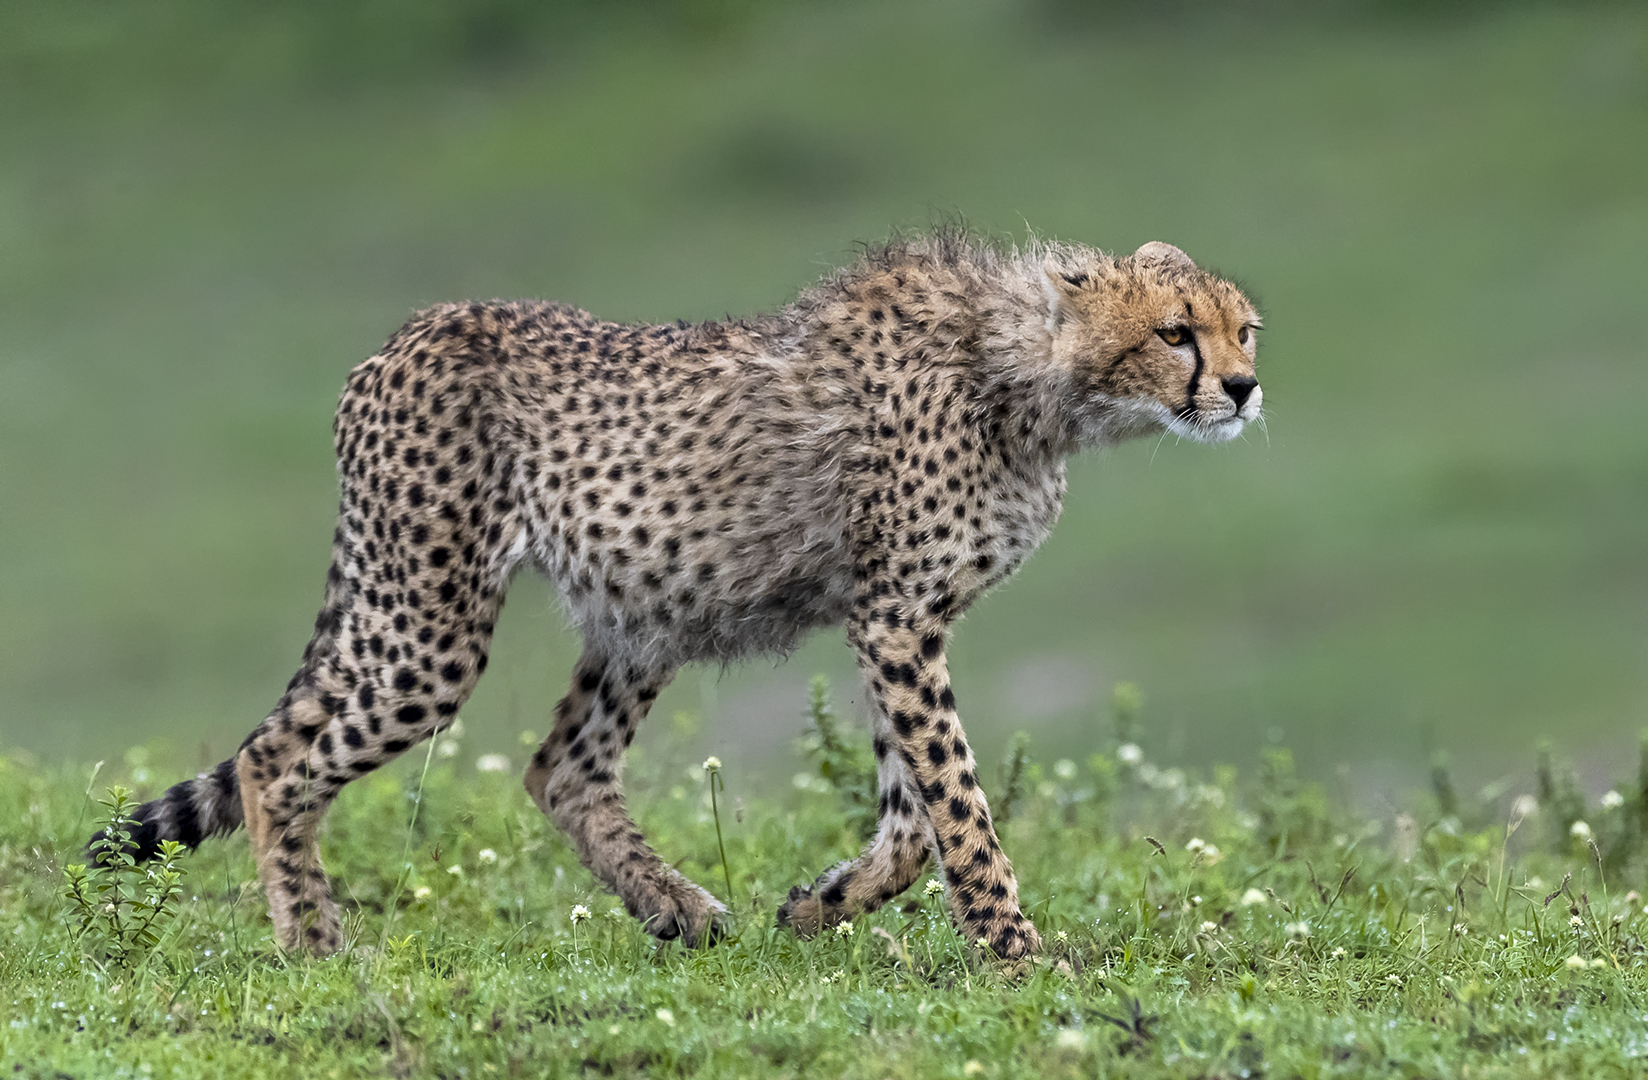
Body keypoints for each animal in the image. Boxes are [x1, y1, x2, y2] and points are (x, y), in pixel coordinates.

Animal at [103, 229, 1262, 960]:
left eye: (1243, 329)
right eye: (1174, 332)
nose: (1245, 388)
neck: (1033, 376)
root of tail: (409, 333)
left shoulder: (892, 618)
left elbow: (911, 816)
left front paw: (820, 906)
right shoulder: (895, 617)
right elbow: (957, 803)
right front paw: (1015, 951)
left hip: (638, 612)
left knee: (556, 768)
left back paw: (679, 910)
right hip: (429, 621)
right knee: (277, 763)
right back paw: (312, 941)